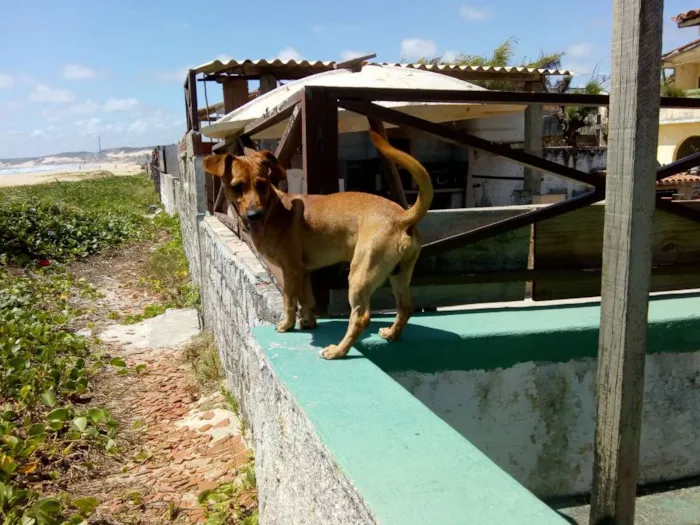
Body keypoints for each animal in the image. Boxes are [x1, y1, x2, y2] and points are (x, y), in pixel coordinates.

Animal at [202, 132, 432, 360]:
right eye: (237, 186)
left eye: (262, 184)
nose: (254, 215)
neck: (274, 209)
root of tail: (402, 216)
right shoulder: (303, 272)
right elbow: (306, 300)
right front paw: (308, 322)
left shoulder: (291, 271)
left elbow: (289, 302)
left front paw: (287, 325)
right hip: (398, 274)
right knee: (406, 307)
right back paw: (392, 334)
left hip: (359, 276)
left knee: (360, 318)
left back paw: (338, 351)